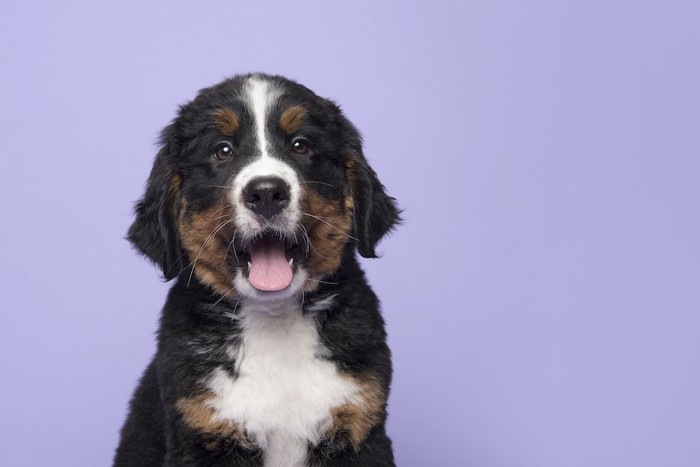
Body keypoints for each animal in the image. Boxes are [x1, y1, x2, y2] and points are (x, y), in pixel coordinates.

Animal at [115, 73, 400, 467]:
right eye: (222, 150)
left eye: (300, 145)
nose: (266, 192)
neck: (274, 320)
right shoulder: (201, 432)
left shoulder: (359, 428)